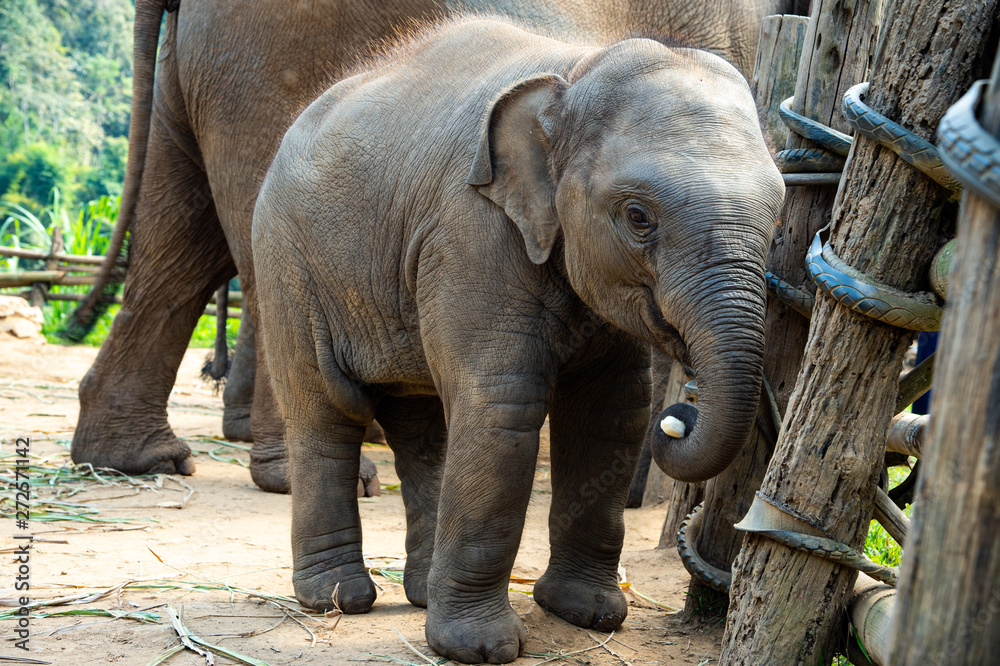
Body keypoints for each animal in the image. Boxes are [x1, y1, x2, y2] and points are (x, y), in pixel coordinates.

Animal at [71, 0, 796, 494]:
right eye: (638, 218)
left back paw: (138, 460)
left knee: (178, 244)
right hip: (267, 62)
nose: (679, 419)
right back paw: (313, 475)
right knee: (247, 254)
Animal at [253, 16, 784, 663]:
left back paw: (420, 593)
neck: (576, 69)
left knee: (419, 426)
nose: (681, 414)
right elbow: (503, 406)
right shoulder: (470, 230)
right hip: (287, 264)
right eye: (638, 217)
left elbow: (613, 413)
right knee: (328, 412)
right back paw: (337, 600)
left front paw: (589, 614)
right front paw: (479, 647)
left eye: (778, 217)